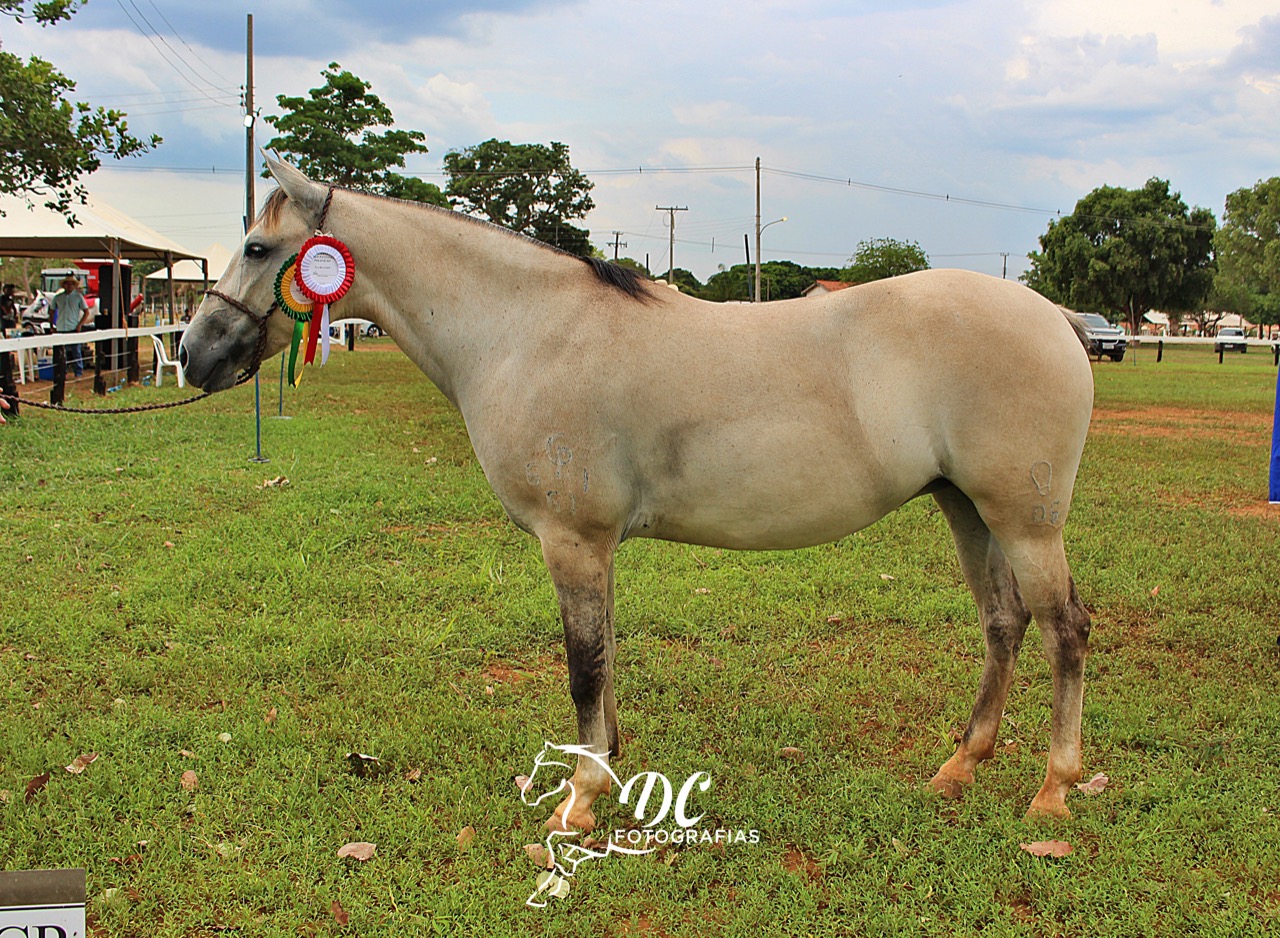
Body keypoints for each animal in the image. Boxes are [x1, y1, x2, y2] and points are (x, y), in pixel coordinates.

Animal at [180, 157, 1095, 829]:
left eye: (257, 249)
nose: (194, 355)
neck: (527, 330)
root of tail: (1056, 317)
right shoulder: (596, 548)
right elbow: (607, 653)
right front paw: (608, 767)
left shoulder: (571, 540)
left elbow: (583, 665)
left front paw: (579, 802)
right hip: (966, 507)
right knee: (1003, 624)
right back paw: (958, 767)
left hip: (1026, 521)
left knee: (1065, 631)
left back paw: (1052, 791)